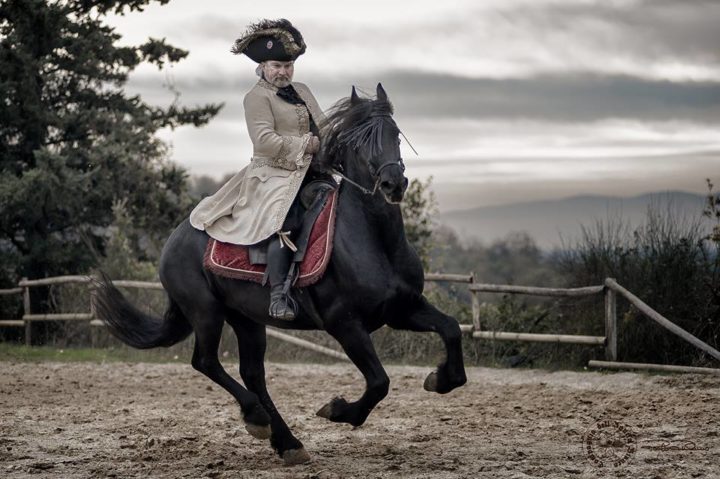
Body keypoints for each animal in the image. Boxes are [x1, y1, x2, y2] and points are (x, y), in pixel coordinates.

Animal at [94, 83, 466, 464]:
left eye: (395, 134)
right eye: (359, 141)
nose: (394, 184)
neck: (374, 240)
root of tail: (175, 239)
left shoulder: (402, 309)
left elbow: (451, 330)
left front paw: (440, 379)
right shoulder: (345, 324)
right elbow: (379, 382)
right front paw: (338, 410)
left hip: (246, 319)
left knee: (252, 373)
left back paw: (286, 442)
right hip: (206, 312)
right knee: (206, 362)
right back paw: (257, 419)